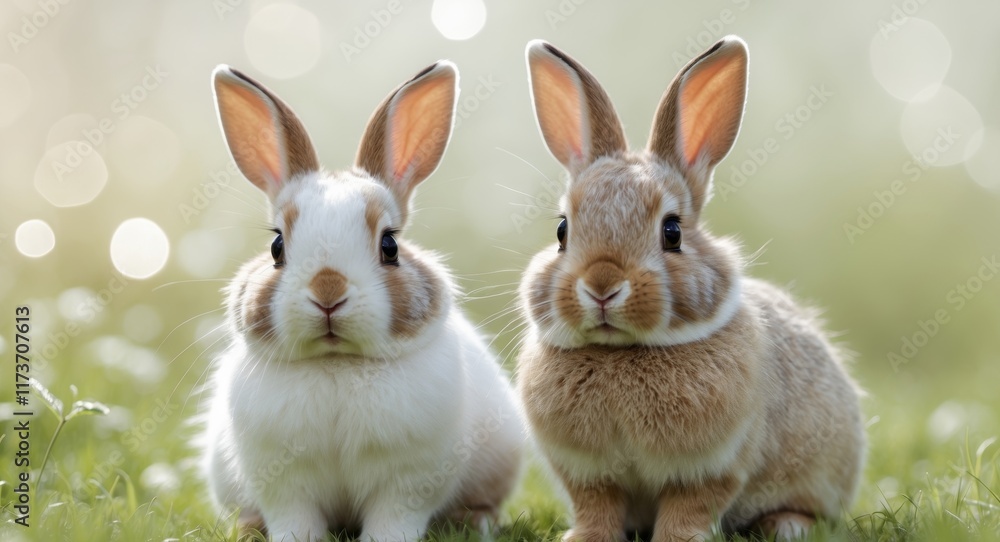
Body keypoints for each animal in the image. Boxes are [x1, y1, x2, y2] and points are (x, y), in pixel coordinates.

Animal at [199, 60, 524, 542]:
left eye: (389, 245)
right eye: (277, 246)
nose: (328, 293)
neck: (339, 363)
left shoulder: (408, 479)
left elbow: (395, 517)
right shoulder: (282, 482)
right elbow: (293, 518)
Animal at [515, 36, 865, 541]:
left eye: (673, 232)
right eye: (562, 231)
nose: (602, 286)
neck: (621, 353)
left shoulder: (713, 467)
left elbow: (690, 507)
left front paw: (679, 539)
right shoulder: (587, 473)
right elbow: (596, 506)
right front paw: (583, 538)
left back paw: (786, 526)